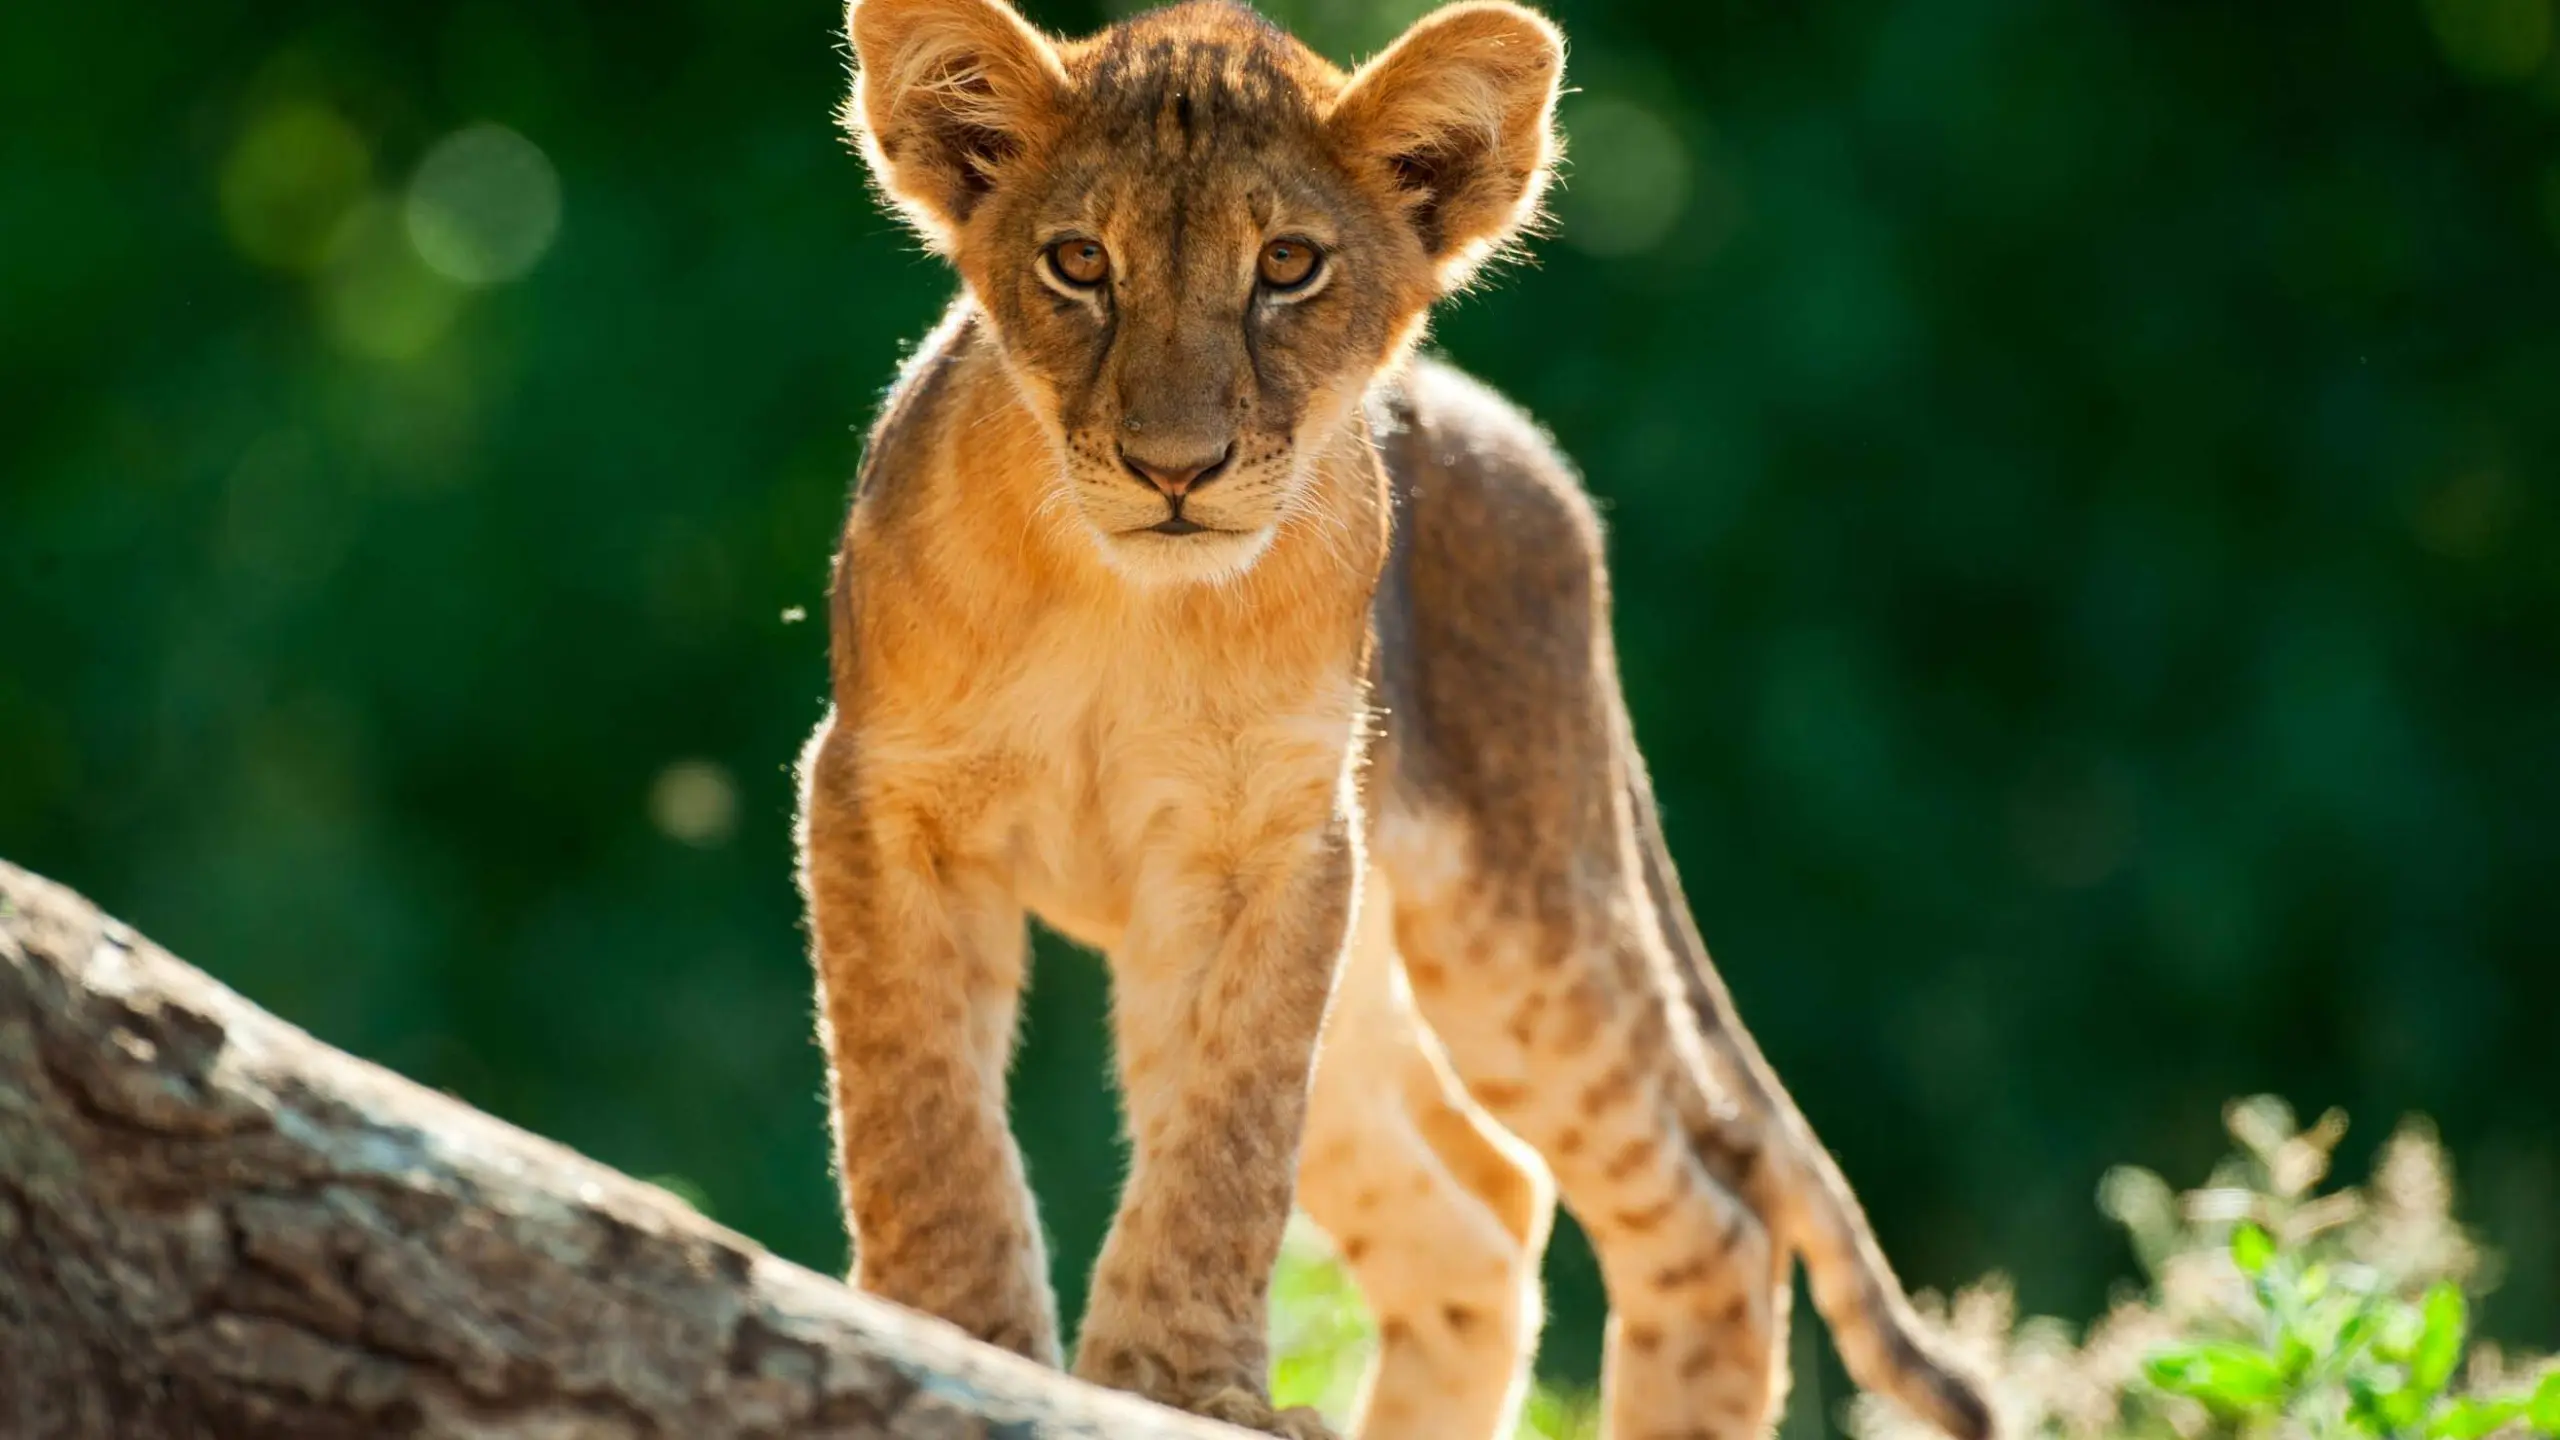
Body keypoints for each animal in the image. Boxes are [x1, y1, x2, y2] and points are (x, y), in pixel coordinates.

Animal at [795, 2, 1995, 1437]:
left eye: (1288, 265)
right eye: (1079, 261)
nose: (1174, 469)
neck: (1125, 604)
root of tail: (1514, 442)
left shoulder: (1272, 846)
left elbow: (1229, 1132)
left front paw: (1178, 1384)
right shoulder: (882, 797)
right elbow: (918, 1108)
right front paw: (956, 1333)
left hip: (1520, 915)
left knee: (1705, 1209)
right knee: (1480, 1211)